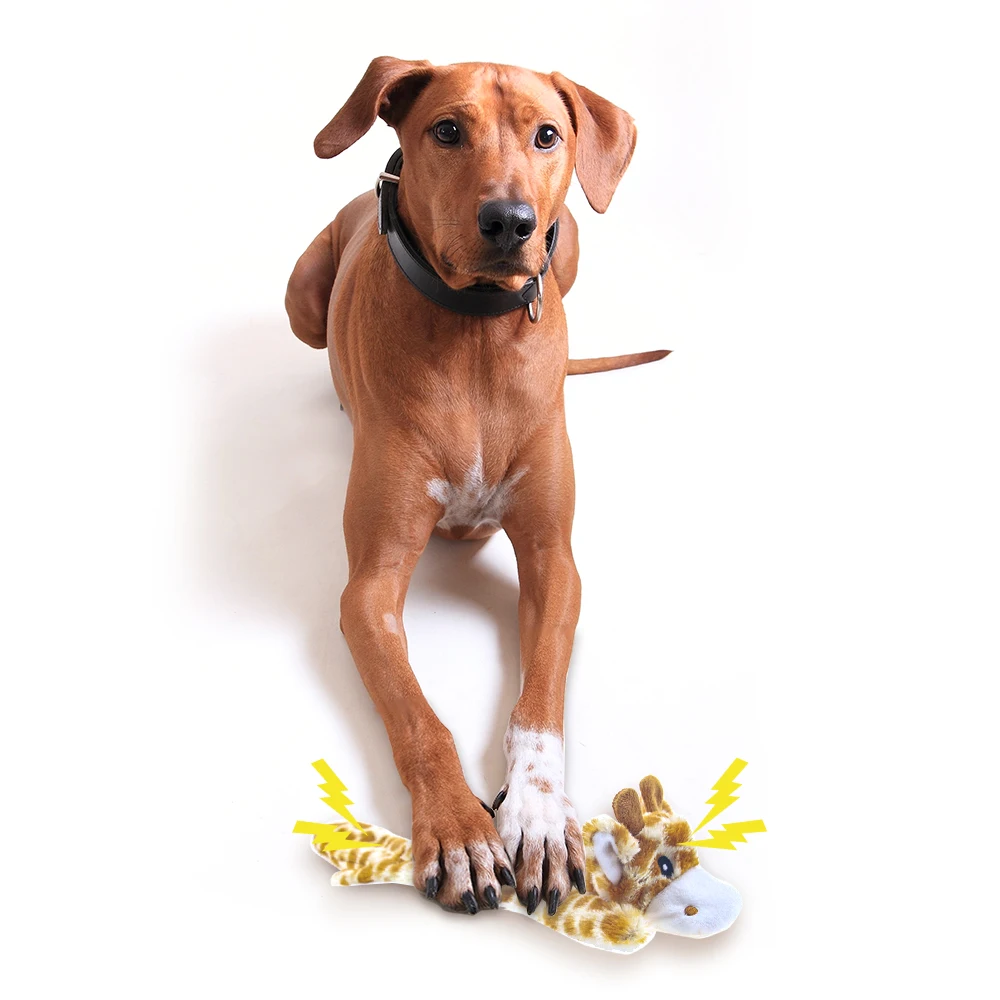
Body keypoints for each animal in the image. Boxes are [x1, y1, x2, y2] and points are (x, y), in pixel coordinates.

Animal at [285, 57, 667, 917]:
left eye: (547, 134)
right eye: (447, 130)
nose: (510, 221)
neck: (476, 334)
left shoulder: (556, 560)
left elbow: (539, 706)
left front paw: (539, 815)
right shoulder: (368, 589)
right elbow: (420, 720)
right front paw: (460, 829)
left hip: (573, 242)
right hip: (299, 295)